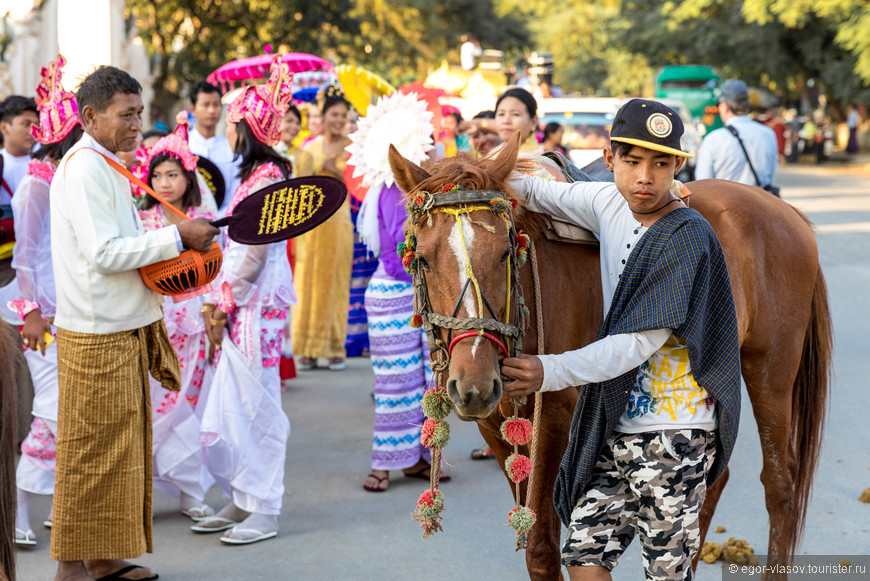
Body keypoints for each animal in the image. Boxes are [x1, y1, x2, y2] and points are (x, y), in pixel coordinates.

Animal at [392, 133, 836, 580]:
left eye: (504, 253)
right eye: (423, 259)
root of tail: (783, 210)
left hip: (771, 368)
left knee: (779, 484)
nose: (474, 384)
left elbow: (542, 548)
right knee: (713, 484)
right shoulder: (495, 425)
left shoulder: (554, 423)